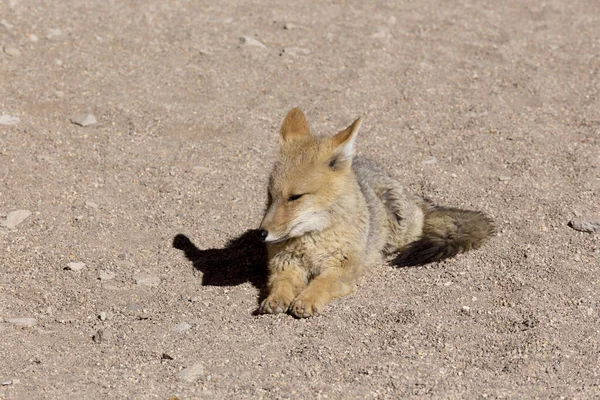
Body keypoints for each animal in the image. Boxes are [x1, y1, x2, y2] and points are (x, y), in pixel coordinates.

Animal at [255, 107, 494, 318]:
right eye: (269, 195)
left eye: (295, 197)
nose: (261, 234)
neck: (311, 243)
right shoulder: (283, 265)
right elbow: (280, 283)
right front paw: (276, 298)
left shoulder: (342, 267)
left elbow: (321, 283)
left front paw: (307, 299)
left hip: (398, 223)